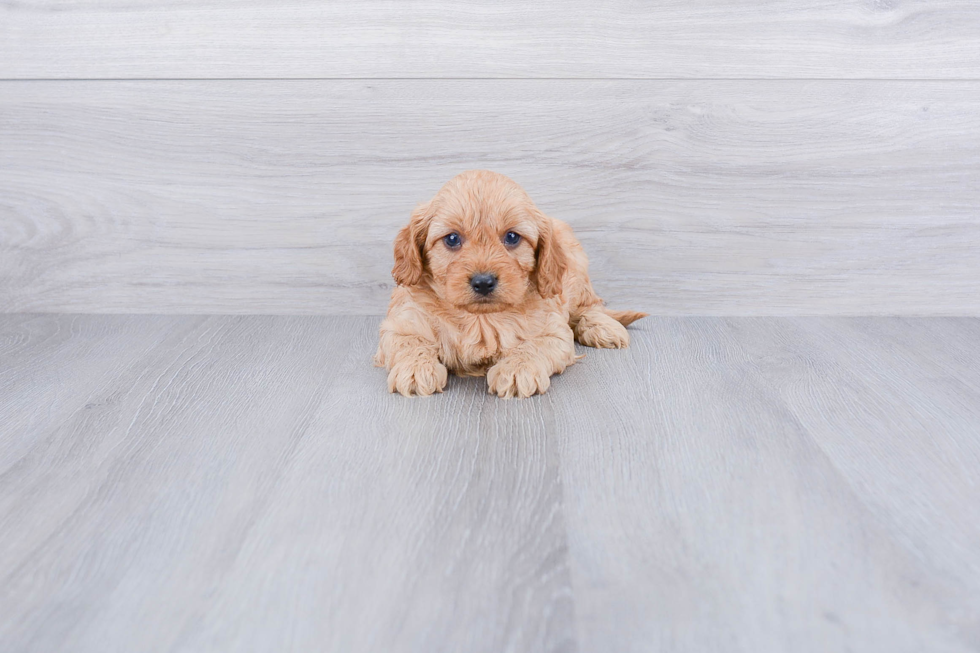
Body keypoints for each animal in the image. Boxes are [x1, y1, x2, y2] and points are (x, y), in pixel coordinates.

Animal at [374, 169, 644, 398]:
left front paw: (516, 370)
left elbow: (534, 345)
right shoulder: (401, 323)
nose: (483, 282)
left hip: (577, 269)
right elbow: (410, 342)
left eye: (512, 237)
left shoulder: (553, 331)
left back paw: (602, 327)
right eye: (451, 239)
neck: (480, 319)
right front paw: (415, 368)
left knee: (590, 305)